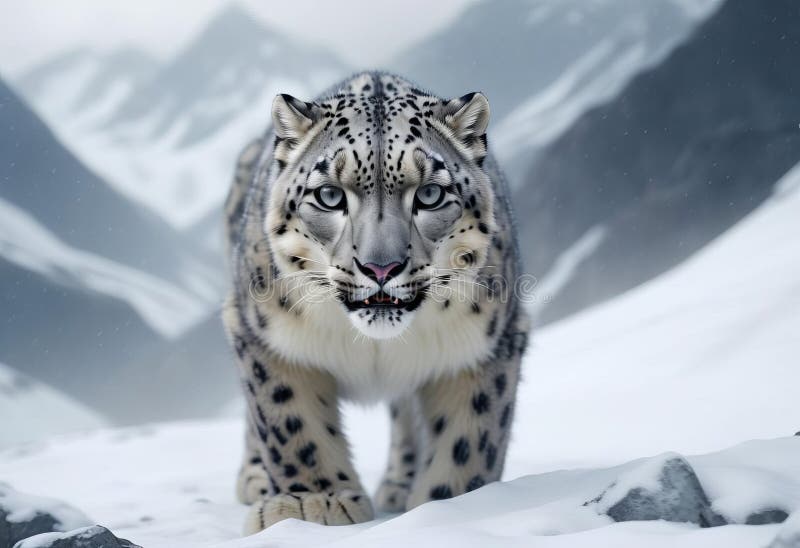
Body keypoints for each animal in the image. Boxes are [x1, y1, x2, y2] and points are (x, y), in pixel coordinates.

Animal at [222, 71, 529, 534]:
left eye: (430, 194)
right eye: (330, 196)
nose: (380, 268)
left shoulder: (487, 343)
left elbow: (470, 438)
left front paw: (449, 504)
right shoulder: (266, 336)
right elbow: (290, 420)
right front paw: (314, 502)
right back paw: (256, 478)